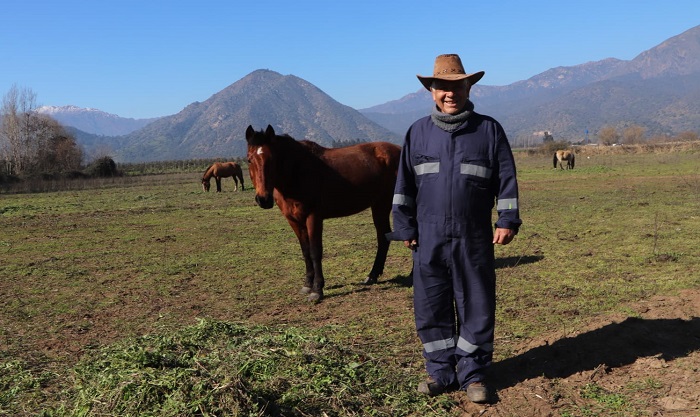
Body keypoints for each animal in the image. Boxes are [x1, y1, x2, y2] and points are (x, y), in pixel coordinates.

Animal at [245, 124, 400, 302]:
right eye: (249, 159)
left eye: (272, 159)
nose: (263, 199)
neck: (297, 172)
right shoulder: (294, 221)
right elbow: (305, 252)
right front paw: (307, 285)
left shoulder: (313, 218)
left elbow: (315, 252)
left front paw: (317, 289)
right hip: (378, 205)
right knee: (383, 236)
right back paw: (372, 275)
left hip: (384, 204)